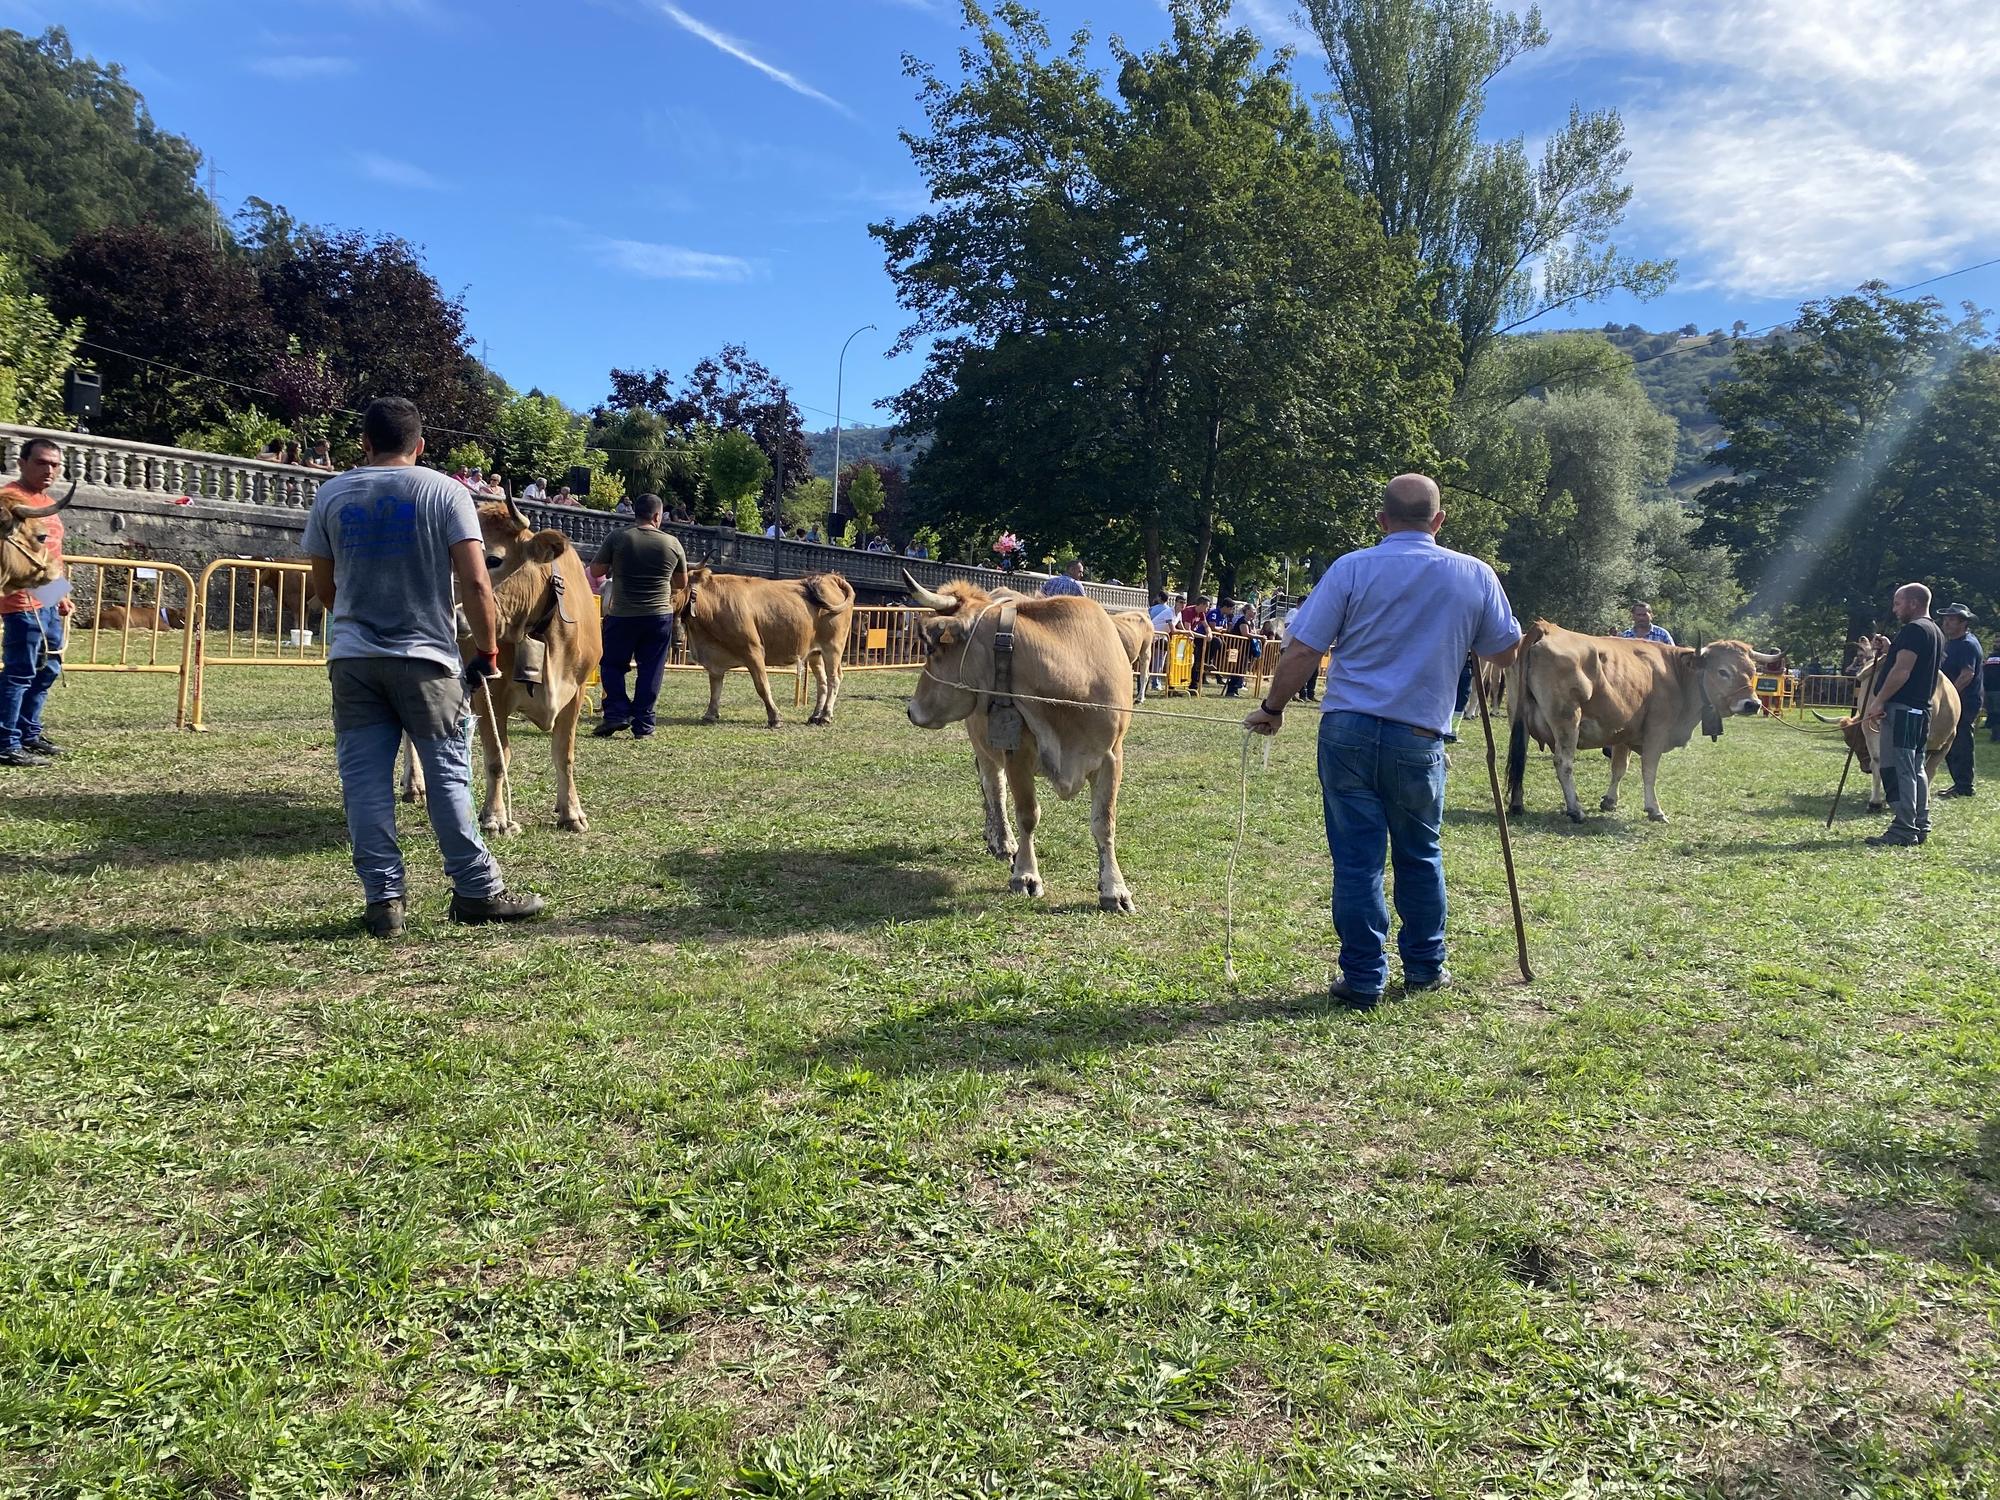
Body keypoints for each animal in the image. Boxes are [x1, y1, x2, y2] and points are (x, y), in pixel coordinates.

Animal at [684, 568, 856, 724]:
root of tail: (829, 578)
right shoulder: (714, 658)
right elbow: (715, 687)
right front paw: (710, 714)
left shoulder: (753, 650)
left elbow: (762, 685)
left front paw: (775, 717)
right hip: (815, 653)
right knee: (822, 681)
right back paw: (815, 715)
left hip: (832, 648)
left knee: (834, 678)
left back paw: (826, 715)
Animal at [908, 568, 1144, 912]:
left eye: (933, 650)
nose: (912, 709)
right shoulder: (1017, 750)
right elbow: (1027, 814)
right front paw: (1026, 874)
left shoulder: (1112, 756)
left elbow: (1104, 822)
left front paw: (1114, 889)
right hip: (983, 742)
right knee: (993, 787)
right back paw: (1002, 841)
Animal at [1504, 624, 1784, 828]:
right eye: (1723, 671)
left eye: (1753, 671)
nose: (1752, 704)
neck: (1678, 675)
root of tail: (1546, 627)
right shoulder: (1656, 733)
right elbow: (1649, 772)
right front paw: (1654, 809)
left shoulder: (1622, 734)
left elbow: (1619, 768)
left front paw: (1609, 801)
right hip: (1567, 720)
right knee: (1564, 763)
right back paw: (1576, 810)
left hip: (1519, 718)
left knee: (1519, 760)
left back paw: (1517, 804)